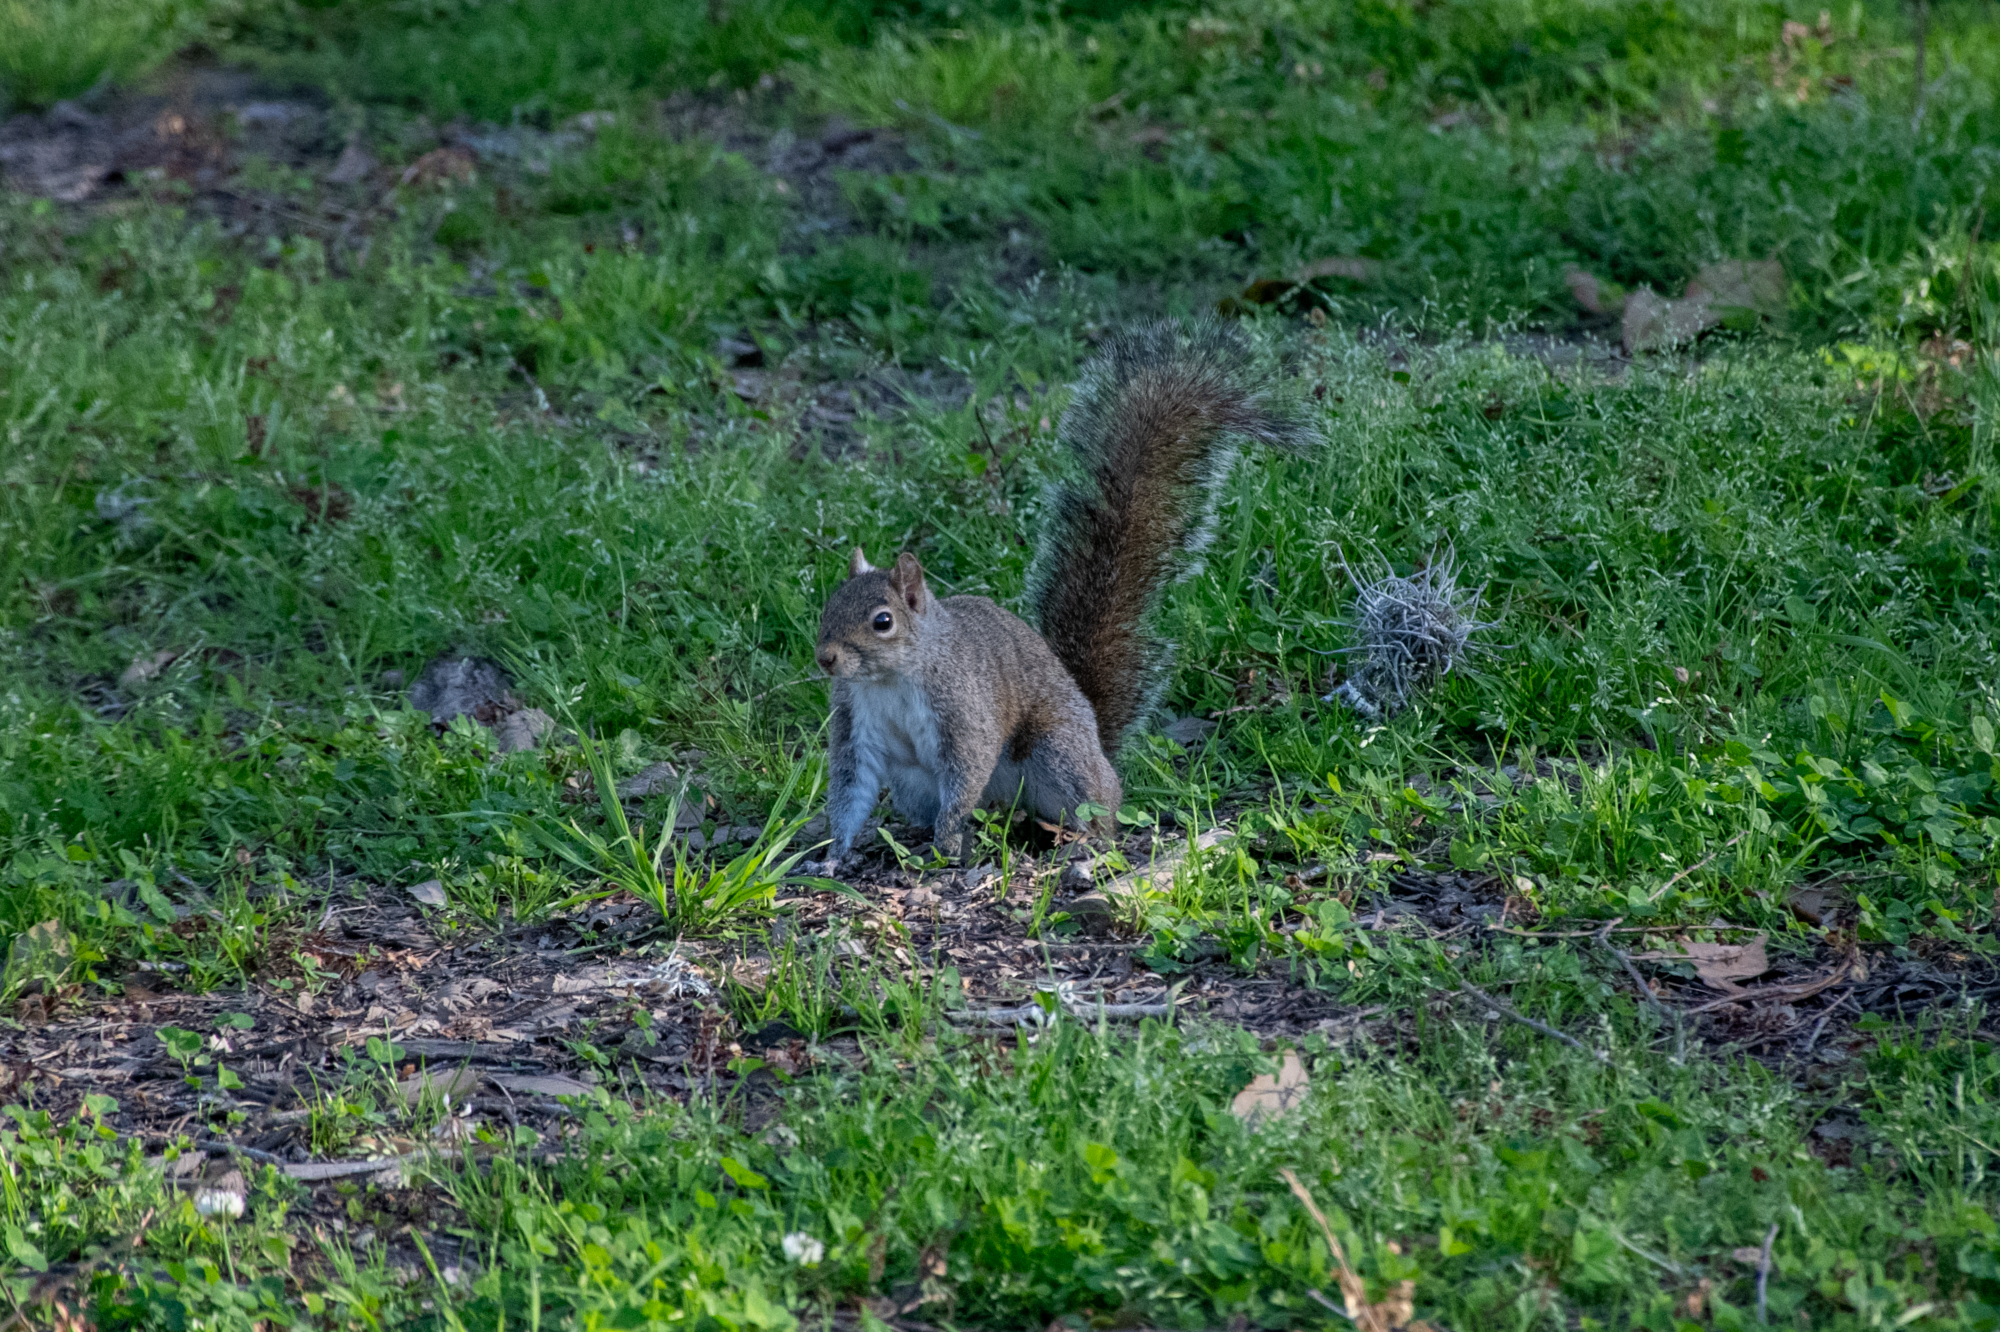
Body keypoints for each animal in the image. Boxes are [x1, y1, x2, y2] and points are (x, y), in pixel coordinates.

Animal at [804, 320, 1320, 872]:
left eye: (883, 621)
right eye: (829, 607)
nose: (826, 659)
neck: (890, 679)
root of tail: (1100, 750)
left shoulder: (963, 708)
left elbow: (965, 773)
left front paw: (945, 841)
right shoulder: (856, 724)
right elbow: (852, 790)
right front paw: (833, 857)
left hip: (1058, 757)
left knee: (1096, 815)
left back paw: (1077, 843)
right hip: (914, 785)